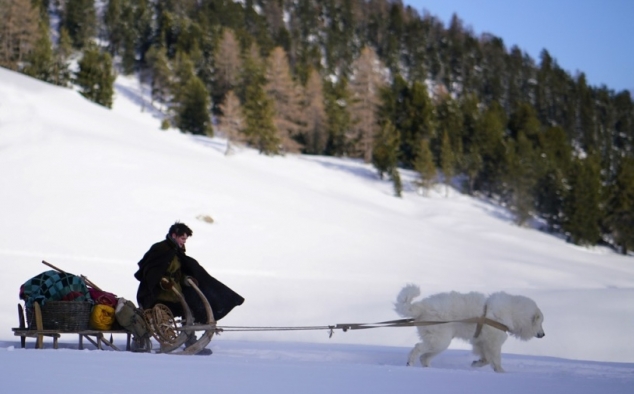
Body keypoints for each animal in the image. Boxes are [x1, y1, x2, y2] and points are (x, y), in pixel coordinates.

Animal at [392, 284, 540, 372]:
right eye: (541, 323)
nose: (542, 334)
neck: (511, 313)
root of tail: (422, 307)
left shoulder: (481, 342)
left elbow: (486, 359)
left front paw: (476, 363)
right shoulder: (493, 343)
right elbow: (495, 359)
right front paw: (501, 372)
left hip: (439, 343)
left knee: (424, 357)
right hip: (439, 340)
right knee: (418, 348)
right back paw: (410, 363)